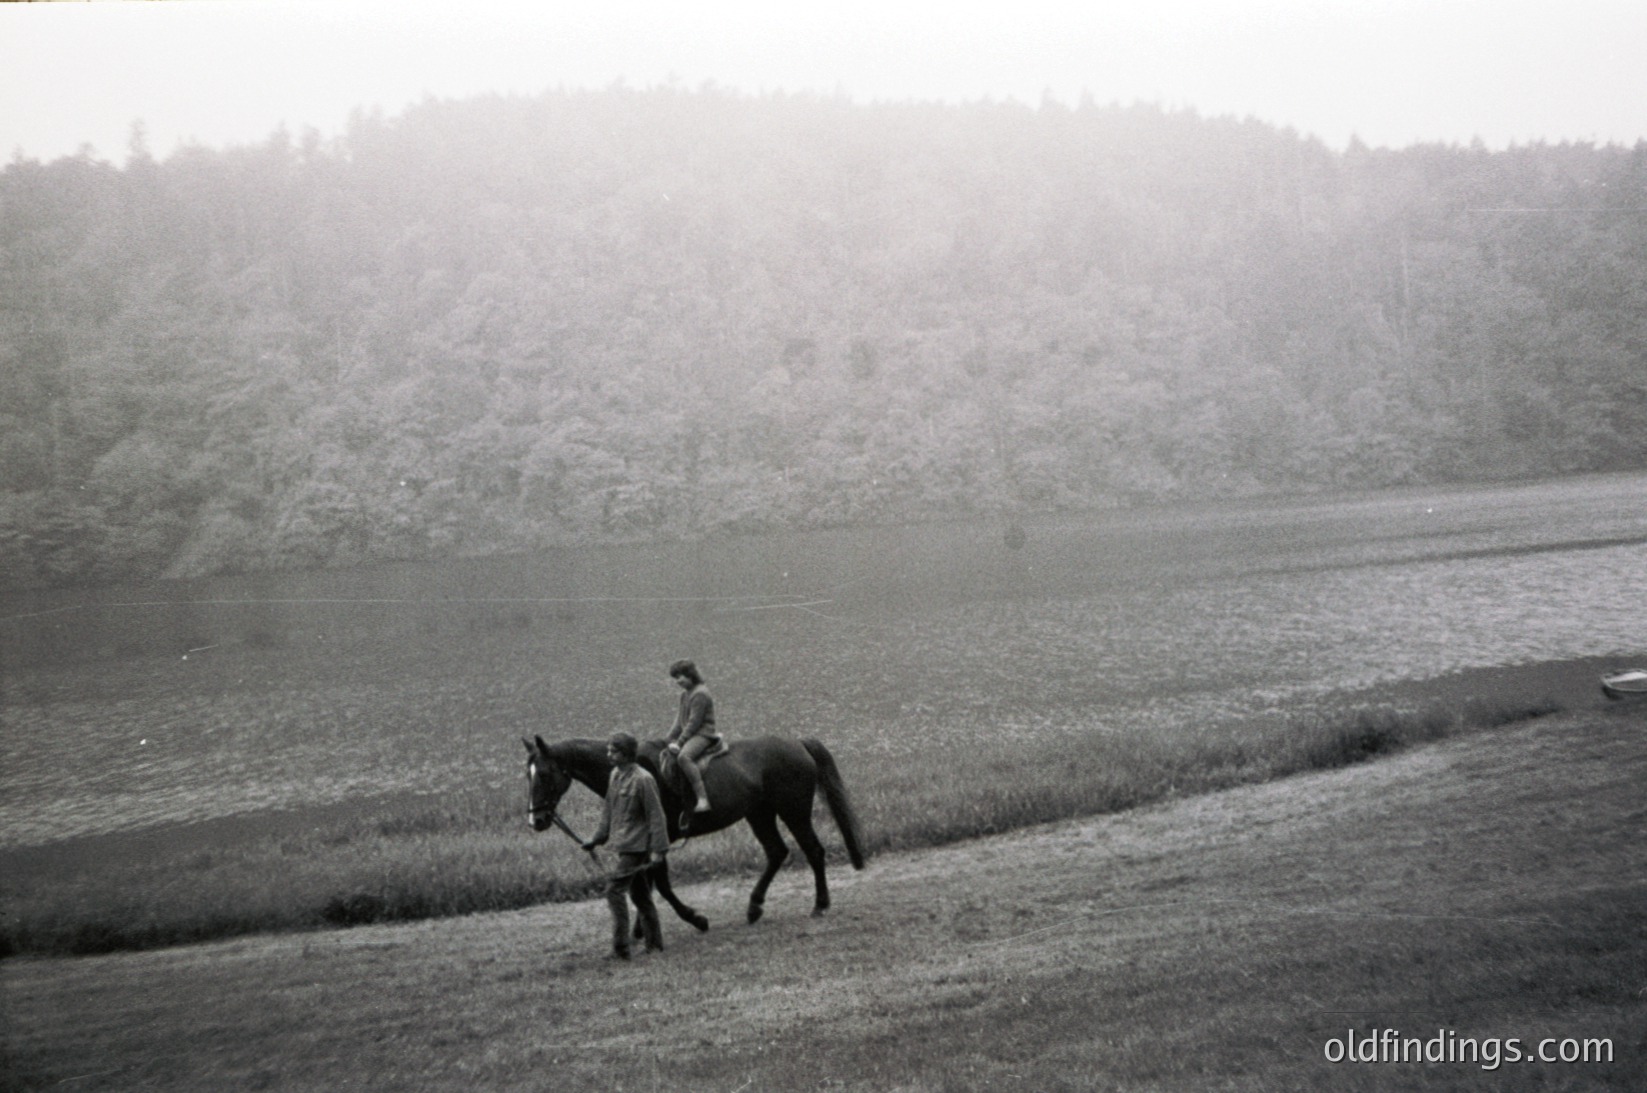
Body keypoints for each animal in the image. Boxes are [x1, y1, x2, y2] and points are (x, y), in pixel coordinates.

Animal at [525, 734, 866, 928]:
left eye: (544, 773)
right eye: (527, 774)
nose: (535, 820)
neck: (637, 770)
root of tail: (798, 743)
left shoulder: (659, 840)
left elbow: (660, 886)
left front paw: (695, 919)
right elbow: (643, 886)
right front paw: (640, 932)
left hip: (793, 812)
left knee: (814, 851)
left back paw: (820, 905)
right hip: (760, 815)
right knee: (777, 852)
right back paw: (754, 907)